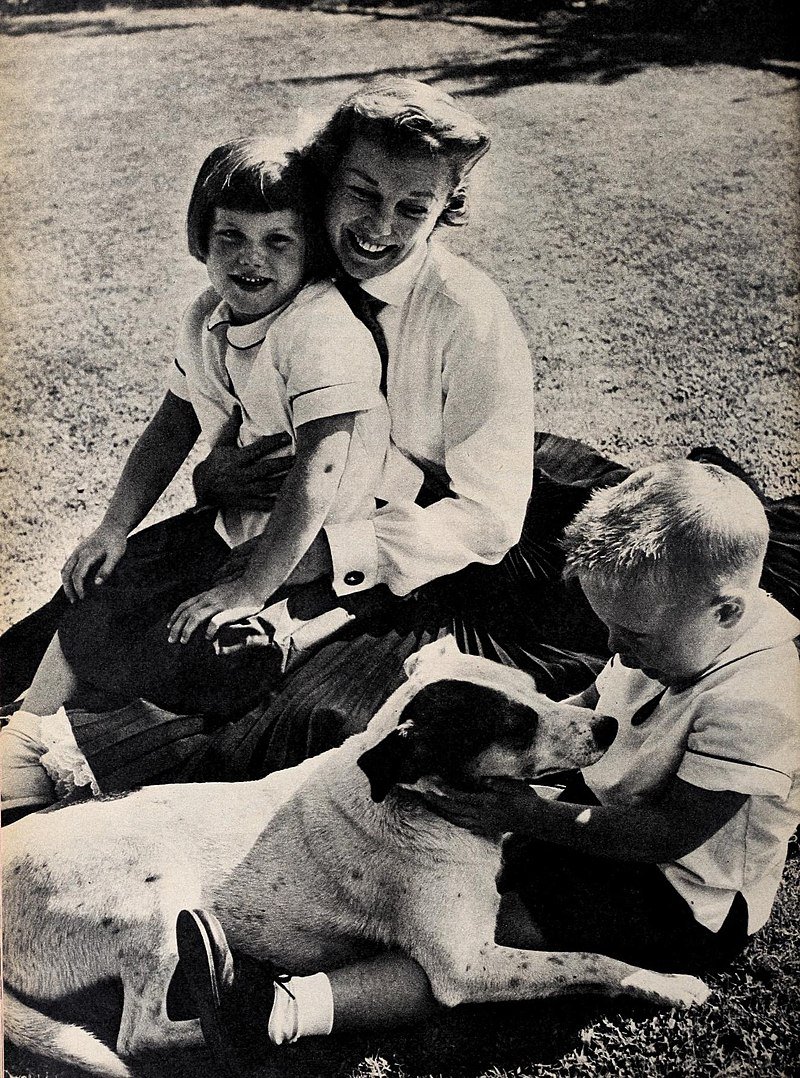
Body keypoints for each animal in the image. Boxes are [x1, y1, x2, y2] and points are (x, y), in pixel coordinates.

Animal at [4, 633, 707, 1073]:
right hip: (155, 901)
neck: (411, 799)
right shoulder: (467, 967)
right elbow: (588, 957)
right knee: (139, 1034)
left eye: (535, 687)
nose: (608, 726)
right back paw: (240, 1019)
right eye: (514, 725)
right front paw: (666, 982)